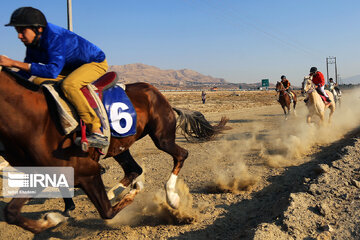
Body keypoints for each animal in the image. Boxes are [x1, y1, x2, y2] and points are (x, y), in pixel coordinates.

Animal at [0, 66, 228, 233]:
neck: (35, 118)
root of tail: (161, 96)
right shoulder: (43, 171)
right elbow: (11, 212)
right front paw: (53, 218)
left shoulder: (86, 171)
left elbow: (107, 211)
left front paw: (56, 217)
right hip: (121, 147)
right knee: (134, 169)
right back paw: (114, 193)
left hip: (161, 137)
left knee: (181, 154)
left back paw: (172, 198)